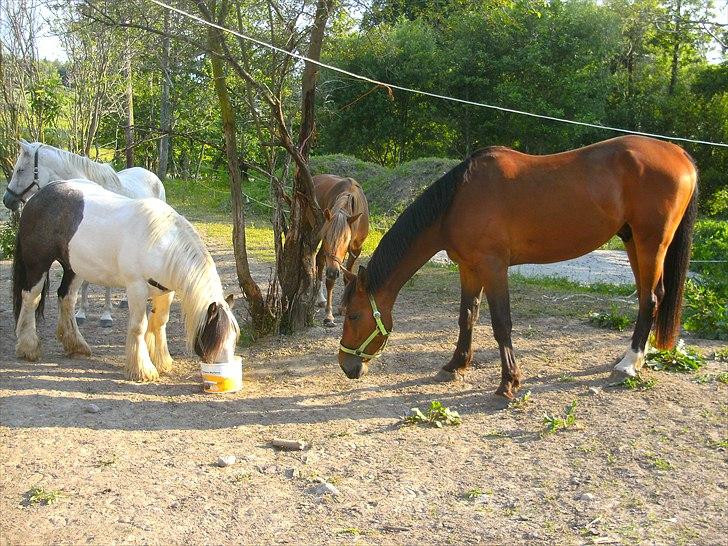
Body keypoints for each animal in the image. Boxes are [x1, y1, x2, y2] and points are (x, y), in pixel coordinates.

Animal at [11, 177, 239, 378]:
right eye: (215, 337)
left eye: (234, 337)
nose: (225, 367)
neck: (162, 243)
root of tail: (38, 195)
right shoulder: (136, 288)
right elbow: (139, 326)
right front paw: (142, 370)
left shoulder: (166, 291)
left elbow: (160, 322)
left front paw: (162, 361)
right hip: (37, 265)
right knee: (31, 298)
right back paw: (29, 347)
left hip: (74, 268)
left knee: (66, 298)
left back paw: (76, 345)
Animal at [312, 175, 370, 328]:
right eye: (326, 236)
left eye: (346, 239)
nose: (333, 272)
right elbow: (330, 281)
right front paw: (329, 316)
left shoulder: (356, 249)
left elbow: (347, 275)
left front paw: (344, 306)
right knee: (318, 260)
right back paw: (320, 298)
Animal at [338, 134, 696, 398]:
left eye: (353, 315)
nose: (346, 366)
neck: (458, 199)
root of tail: (678, 153)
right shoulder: (469, 268)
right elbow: (467, 317)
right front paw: (455, 365)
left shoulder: (493, 267)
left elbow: (501, 324)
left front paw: (508, 382)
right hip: (633, 240)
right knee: (651, 296)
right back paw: (635, 356)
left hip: (651, 242)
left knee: (650, 298)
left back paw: (630, 363)